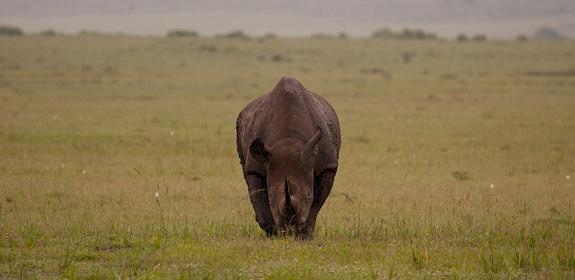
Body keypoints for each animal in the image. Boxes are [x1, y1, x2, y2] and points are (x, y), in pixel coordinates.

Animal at [235, 77, 340, 238]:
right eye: (271, 196)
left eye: (309, 195)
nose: (289, 228)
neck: (288, 141)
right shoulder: (255, 168)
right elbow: (258, 197)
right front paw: (272, 232)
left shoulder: (327, 167)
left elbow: (316, 204)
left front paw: (304, 234)